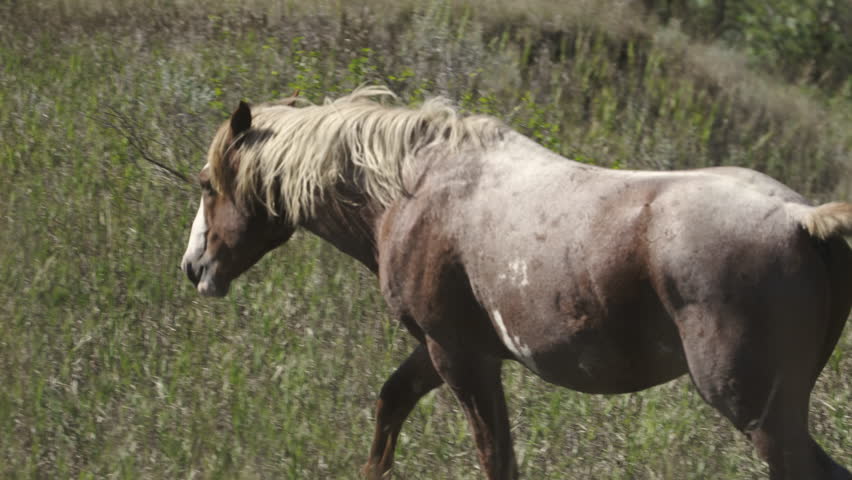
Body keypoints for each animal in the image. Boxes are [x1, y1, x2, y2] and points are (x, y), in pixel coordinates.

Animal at [180, 86, 852, 479]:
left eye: (209, 185)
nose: (194, 267)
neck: (411, 191)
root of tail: (801, 219)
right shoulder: (443, 351)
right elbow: (390, 405)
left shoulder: (460, 357)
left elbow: (495, 457)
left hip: (757, 415)